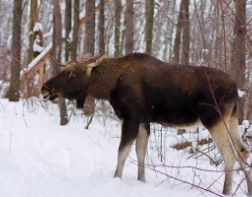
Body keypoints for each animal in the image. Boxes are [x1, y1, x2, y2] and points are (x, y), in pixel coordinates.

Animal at [41, 53, 252, 195]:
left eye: (71, 73)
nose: (45, 88)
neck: (109, 87)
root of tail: (236, 90)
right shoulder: (143, 121)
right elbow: (140, 153)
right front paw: (140, 180)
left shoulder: (131, 117)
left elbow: (123, 152)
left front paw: (116, 179)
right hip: (231, 119)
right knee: (243, 151)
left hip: (214, 119)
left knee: (230, 155)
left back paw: (225, 191)